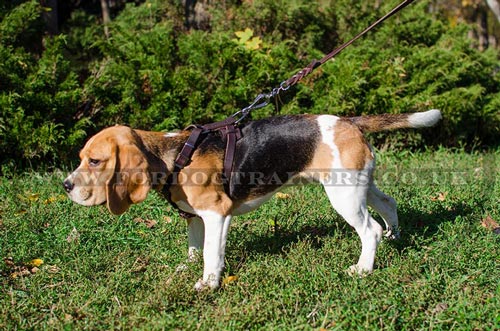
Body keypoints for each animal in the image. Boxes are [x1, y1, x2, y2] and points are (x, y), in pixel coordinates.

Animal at [63, 109, 442, 290]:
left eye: (95, 161)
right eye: (81, 158)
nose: (66, 185)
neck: (172, 155)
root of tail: (349, 121)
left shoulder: (216, 214)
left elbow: (211, 254)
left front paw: (208, 284)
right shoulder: (195, 217)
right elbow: (195, 247)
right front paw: (187, 267)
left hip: (344, 197)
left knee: (369, 231)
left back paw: (363, 268)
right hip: (359, 186)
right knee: (389, 204)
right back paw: (395, 238)